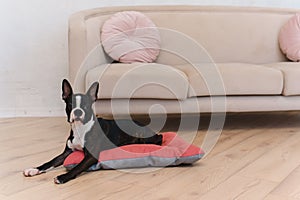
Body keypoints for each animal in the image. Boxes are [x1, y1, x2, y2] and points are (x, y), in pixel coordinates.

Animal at [24, 79, 162, 184]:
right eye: (70, 105)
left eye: (86, 106)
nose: (78, 111)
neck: (80, 128)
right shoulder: (67, 152)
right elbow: (51, 161)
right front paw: (34, 169)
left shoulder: (91, 155)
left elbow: (78, 166)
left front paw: (63, 177)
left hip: (144, 136)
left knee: (159, 138)